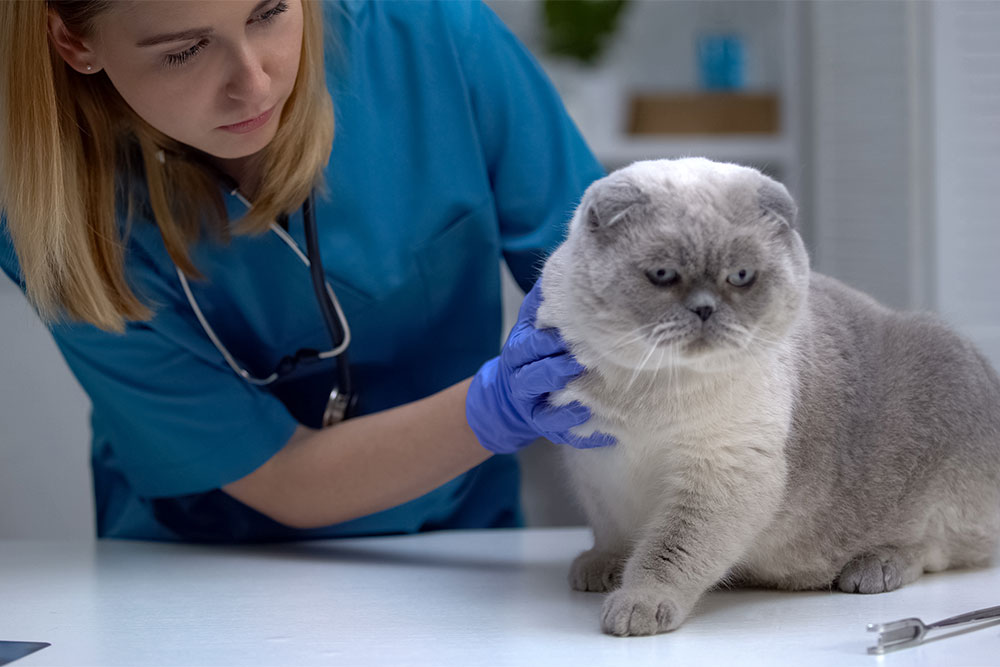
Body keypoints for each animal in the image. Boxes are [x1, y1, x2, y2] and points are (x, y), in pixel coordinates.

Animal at [540, 159, 1000, 640]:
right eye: (663, 275)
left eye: (740, 277)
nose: (705, 308)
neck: (646, 384)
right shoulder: (594, 469)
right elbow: (612, 534)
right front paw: (601, 568)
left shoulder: (725, 473)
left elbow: (668, 553)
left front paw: (635, 606)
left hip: (943, 415)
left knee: (937, 548)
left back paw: (873, 569)